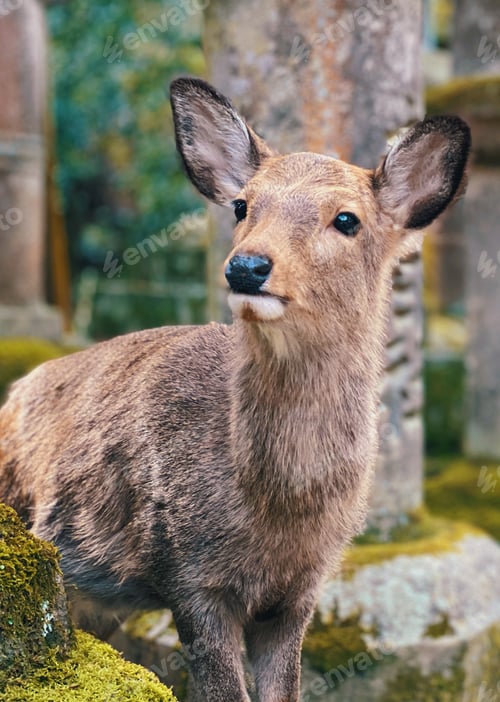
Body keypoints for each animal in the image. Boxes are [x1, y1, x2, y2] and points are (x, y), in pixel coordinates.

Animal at [0, 77, 469, 702]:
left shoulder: (303, 590)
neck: (278, 511)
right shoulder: (187, 571)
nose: (246, 266)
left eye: (347, 219)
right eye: (243, 205)